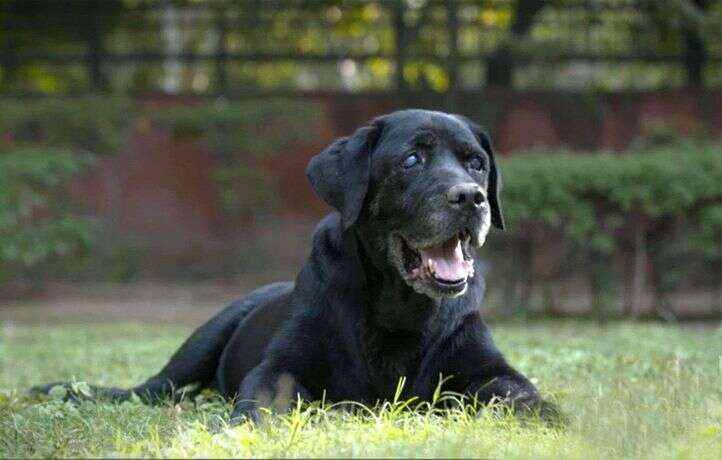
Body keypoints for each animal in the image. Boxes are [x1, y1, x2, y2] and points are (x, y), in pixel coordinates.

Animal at [33, 108, 548, 424]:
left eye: (476, 163)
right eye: (411, 160)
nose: (471, 198)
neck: (400, 309)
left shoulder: (486, 368)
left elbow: (524, 394)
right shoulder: (283, 365)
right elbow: (260, 399)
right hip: (201, 342)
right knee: (152, 387)